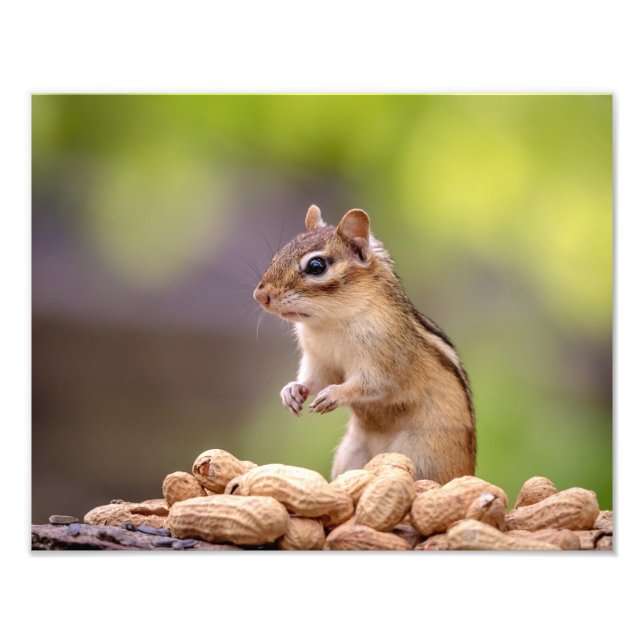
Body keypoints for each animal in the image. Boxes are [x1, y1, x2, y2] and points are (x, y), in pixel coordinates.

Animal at [253, 205, 476, 483]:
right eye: (276, 256)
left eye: (316, 266)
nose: (260, 295)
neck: (330, 323)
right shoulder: (319, 361)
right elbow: (315, 379)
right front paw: (292, 390)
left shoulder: (385, 359)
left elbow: (372, 384)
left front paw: (335, 394)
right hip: (350, 454)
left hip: (424, 456)